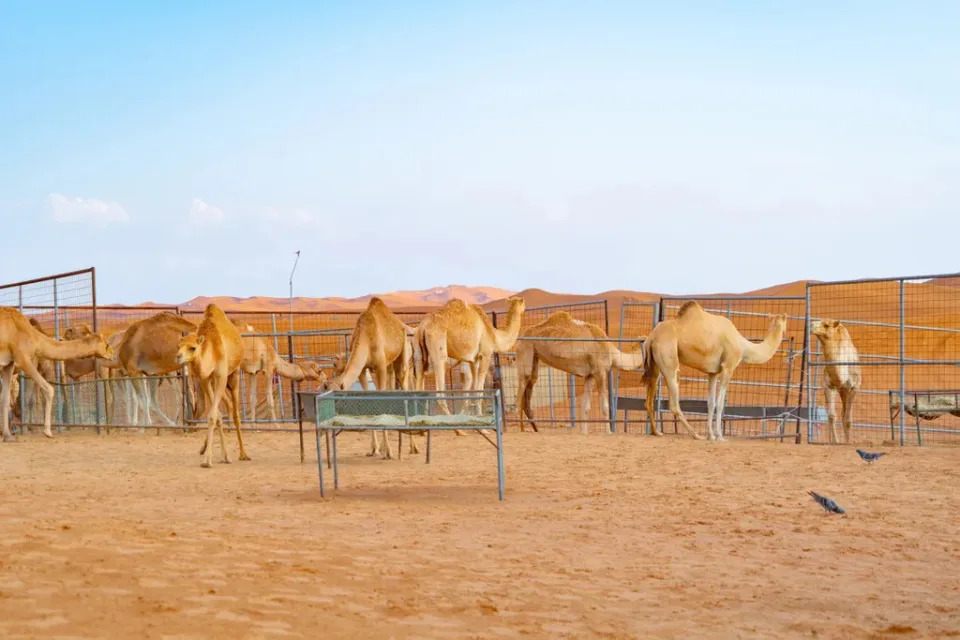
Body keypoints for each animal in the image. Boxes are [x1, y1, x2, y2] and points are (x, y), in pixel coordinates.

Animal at [0, 306, 114, 440]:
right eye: (106, 345)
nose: (112, 354)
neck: (35, 338)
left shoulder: (10, 365)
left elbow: (6, 399)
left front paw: (7, 435)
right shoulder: (23, 359)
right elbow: (47, 390)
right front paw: (46, 432)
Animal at [174, 302, 248, 468]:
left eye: (192, 347)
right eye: (178, 346)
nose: (178, 357)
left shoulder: (221, 376)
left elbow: (214, 415)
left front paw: (208, 460)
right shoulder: (205, 379)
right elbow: (215, 415)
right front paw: (222, 456)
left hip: (233, 375)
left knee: (235, 413)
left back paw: (244, 454)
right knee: (226, 406)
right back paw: (205, 449)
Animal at [516, 312, 644, 432]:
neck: (612, 354)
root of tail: (523, 334)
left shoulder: (590, 375)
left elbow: (585, 407)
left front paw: (584, 432)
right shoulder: (600, 371)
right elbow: (604, 406)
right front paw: (609, 432)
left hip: (534, 356)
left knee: (530, 385)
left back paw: (530, 429)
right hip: (525, 348)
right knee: (522, 384)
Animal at [636, 302, 788, 442]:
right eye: (783, 321)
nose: (785, 330)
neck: (744, 347)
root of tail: (651, 337)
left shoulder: (713, 373)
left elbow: (710, 403)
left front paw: (711, 435)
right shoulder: (728, 367)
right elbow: (720, 404)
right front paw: (720, 436)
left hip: (654, 365)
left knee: (649, 400)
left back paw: (656, 432)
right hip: (668, 358)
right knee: (673, 402)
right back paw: (696, 435)